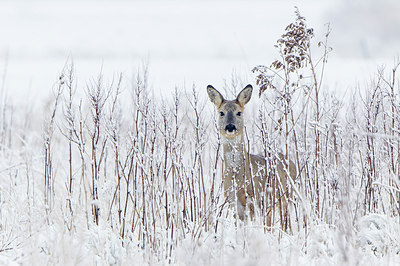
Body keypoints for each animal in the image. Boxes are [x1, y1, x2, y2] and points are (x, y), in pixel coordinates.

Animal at [206, 84, 296, 228]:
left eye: (239, 112)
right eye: (221, 113)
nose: (230, 127)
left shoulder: (256, 198)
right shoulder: (233, 203)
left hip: (284, 197)